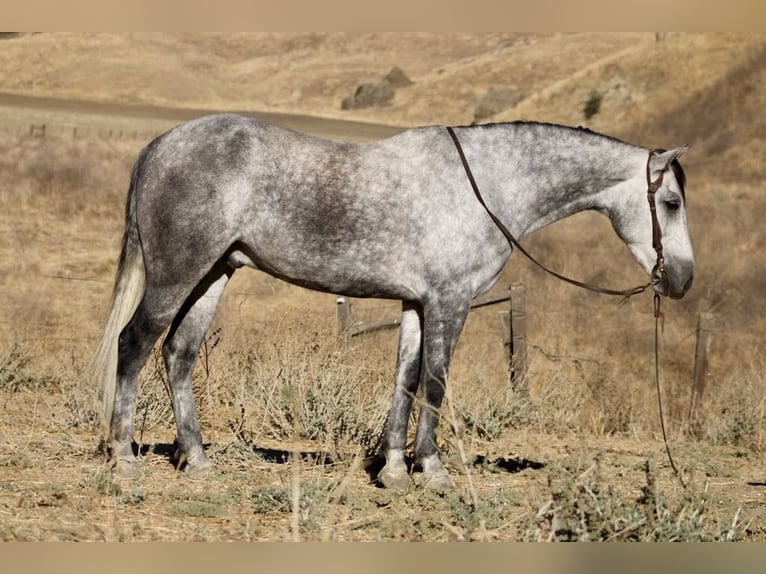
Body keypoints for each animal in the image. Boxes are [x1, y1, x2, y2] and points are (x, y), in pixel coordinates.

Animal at [91, 115, 696, 492]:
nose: (683, 279)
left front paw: (395, 470)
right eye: (670, 202)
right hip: (178, 275)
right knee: (134, 343)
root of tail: (160, 145)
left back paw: (195, 459)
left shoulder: (414, 303)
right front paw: (433, 469)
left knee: (179, 353)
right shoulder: (449, 301)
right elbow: (435, 380)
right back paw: (123, 457)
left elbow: (404, 378)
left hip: (214, 273)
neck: (487, 187)